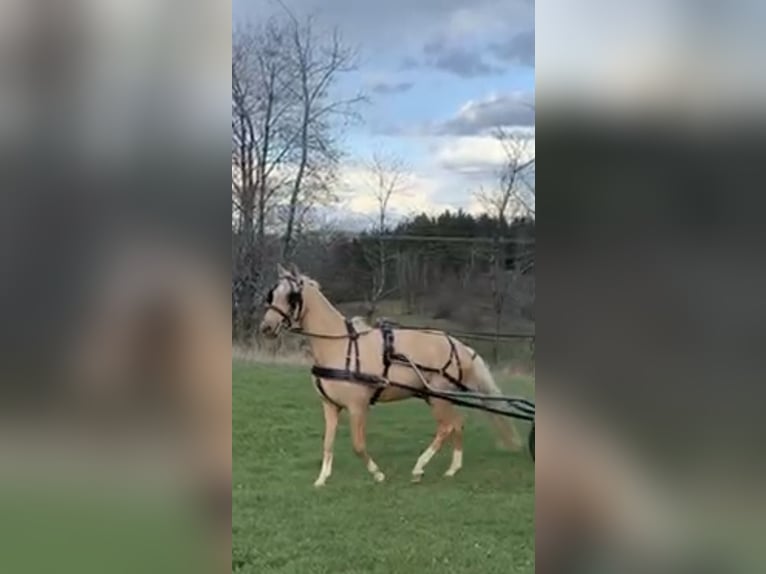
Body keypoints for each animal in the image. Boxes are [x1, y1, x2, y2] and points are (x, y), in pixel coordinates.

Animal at [260, 264, 524, 486]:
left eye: (292, 296)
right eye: (272, 294)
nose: (266, 327)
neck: (341, 346)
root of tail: (459, 346)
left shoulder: (358, 406)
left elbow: (358, 445)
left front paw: (377, 474)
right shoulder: (331, 406)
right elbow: (327, 443)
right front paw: (322, 479)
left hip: (437, 397)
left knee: (446, 427)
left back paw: (419, 468)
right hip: (437, 397)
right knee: (457, 424)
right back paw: (453, 468)